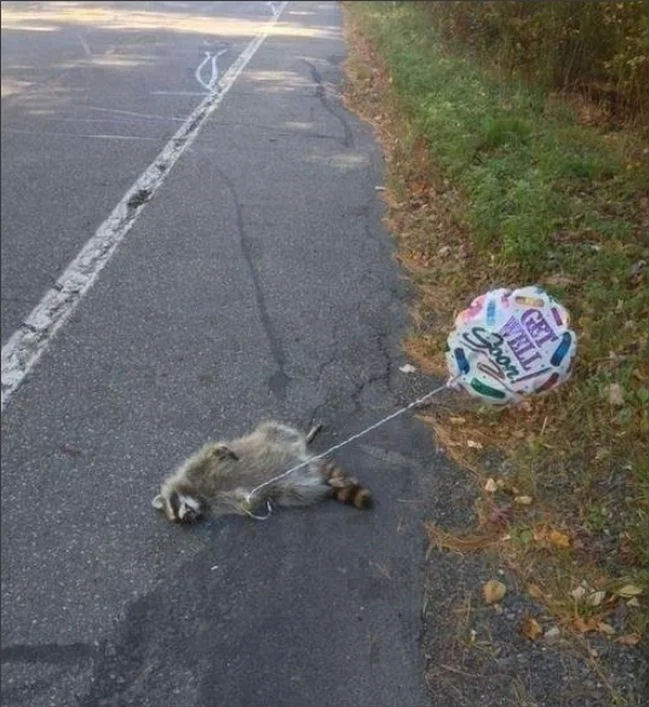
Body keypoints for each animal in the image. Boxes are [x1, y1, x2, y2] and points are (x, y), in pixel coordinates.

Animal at [152, 421, 372, 524]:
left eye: (176, 505)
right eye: (179, 519)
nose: (189, 516)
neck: (199, 495)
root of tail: (305, 458)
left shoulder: (195, 467)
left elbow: (211, 452)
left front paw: (220, 450)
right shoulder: (218, 504)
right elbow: (241, 501)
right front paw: (247, 499)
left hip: (274, 436)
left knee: (279, 429)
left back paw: (305, 438)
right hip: (290, 486)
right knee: (303, 491)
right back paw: (330, 484)